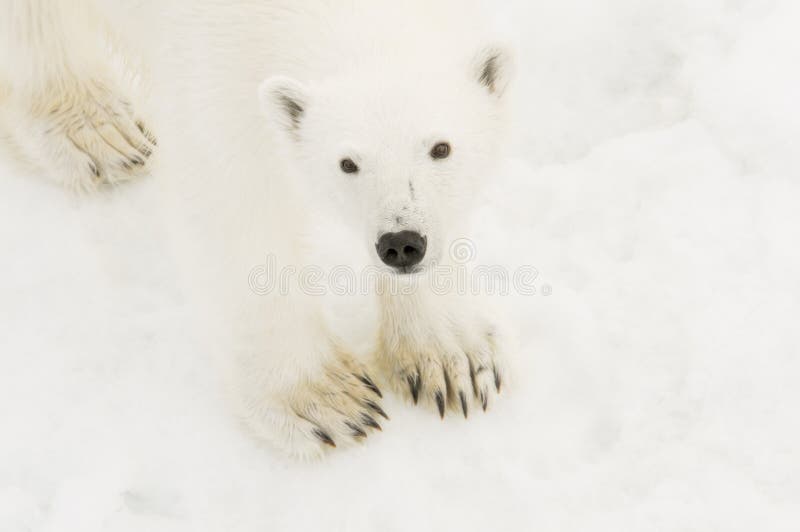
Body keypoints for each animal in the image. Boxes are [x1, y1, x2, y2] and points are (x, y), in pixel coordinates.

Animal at [1, 0, 512, 458]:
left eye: (441, 148)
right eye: (347, 162)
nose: (401, 243)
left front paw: (452, 361)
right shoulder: (214, 76)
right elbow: (237, 214)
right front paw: (325, 401)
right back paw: (97, 129)